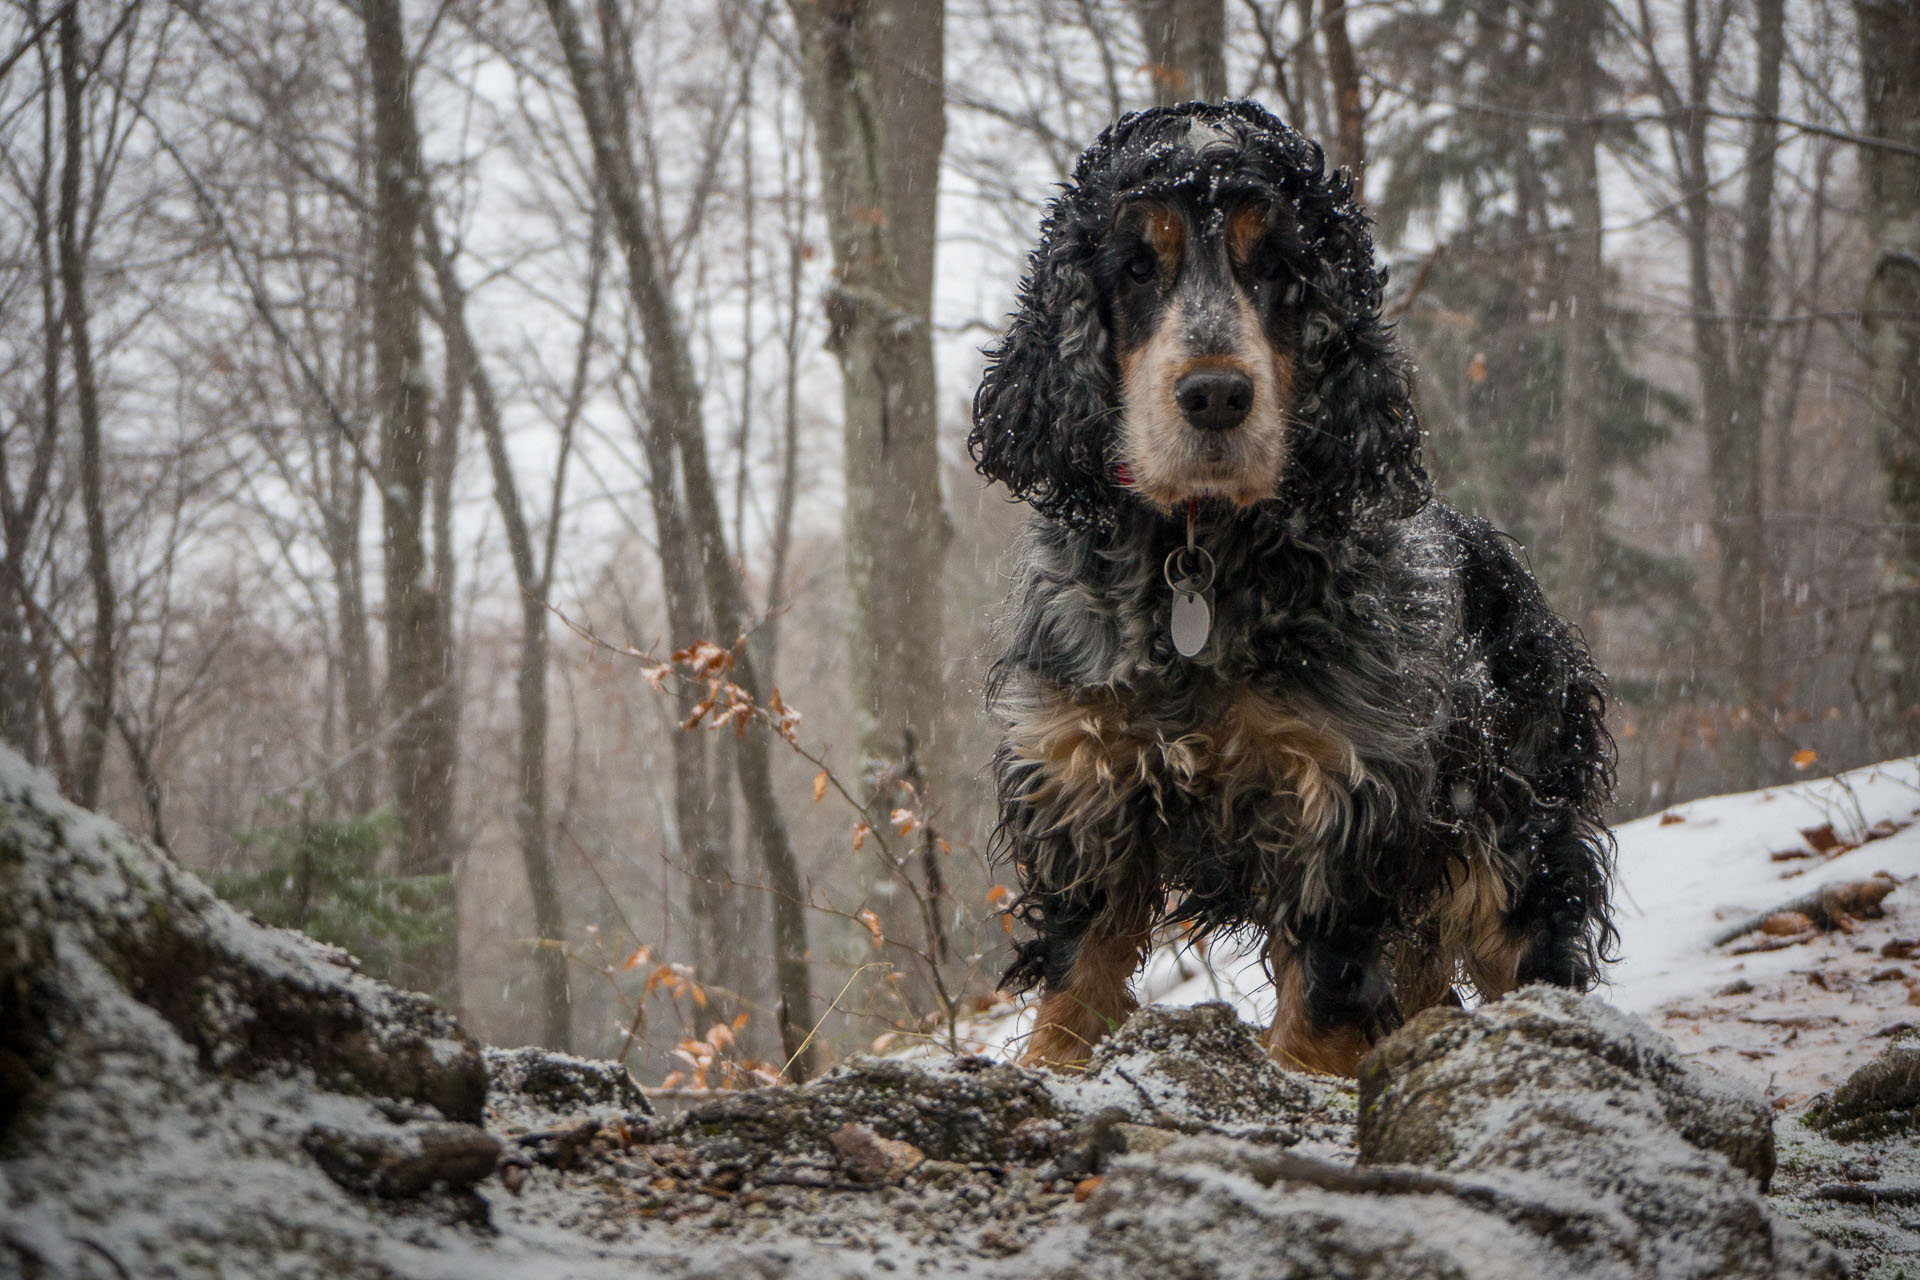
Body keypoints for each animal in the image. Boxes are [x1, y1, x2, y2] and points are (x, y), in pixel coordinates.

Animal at [967, 102, 1612, 1082]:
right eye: (1136, 268)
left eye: (1276, 267)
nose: (1215, 396)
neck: (1198, 558)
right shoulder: (1083, 774)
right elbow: (1083, 961)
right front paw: (1055, 1065)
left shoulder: (1343, 792)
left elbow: (1322, 980)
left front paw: (1303, 1076)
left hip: (1512, 841)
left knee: (1527, 958)